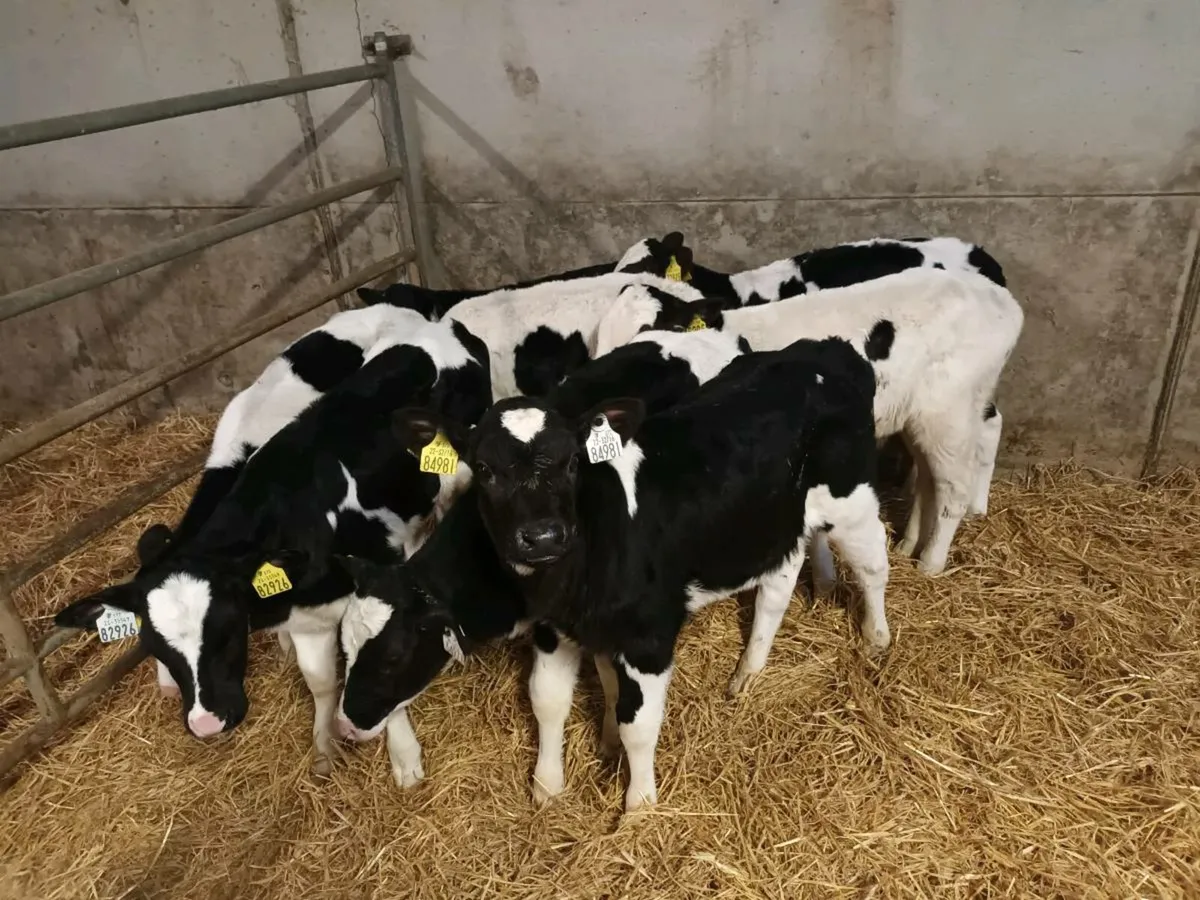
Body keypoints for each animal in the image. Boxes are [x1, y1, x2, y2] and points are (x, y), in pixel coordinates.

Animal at [53, 314, 491, 774]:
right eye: (154, 645)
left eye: (227, 630)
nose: (206, 723)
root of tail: (439, 325)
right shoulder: (306, 618)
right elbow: (320, 681)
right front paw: (324, 745)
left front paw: (403, 755)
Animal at [403, 336, 890, 811]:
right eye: (485, 470)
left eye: (572, 463)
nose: (542, 537)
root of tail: (825, 349)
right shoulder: (556, 627)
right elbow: (549, 698)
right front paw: (549, 786)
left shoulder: (648, 637)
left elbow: (637, 723)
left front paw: (639, 807)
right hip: (776, 523)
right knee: (777, 587)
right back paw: (747, 675)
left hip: (851, 498)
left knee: (873, 565)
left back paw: (876, 638)